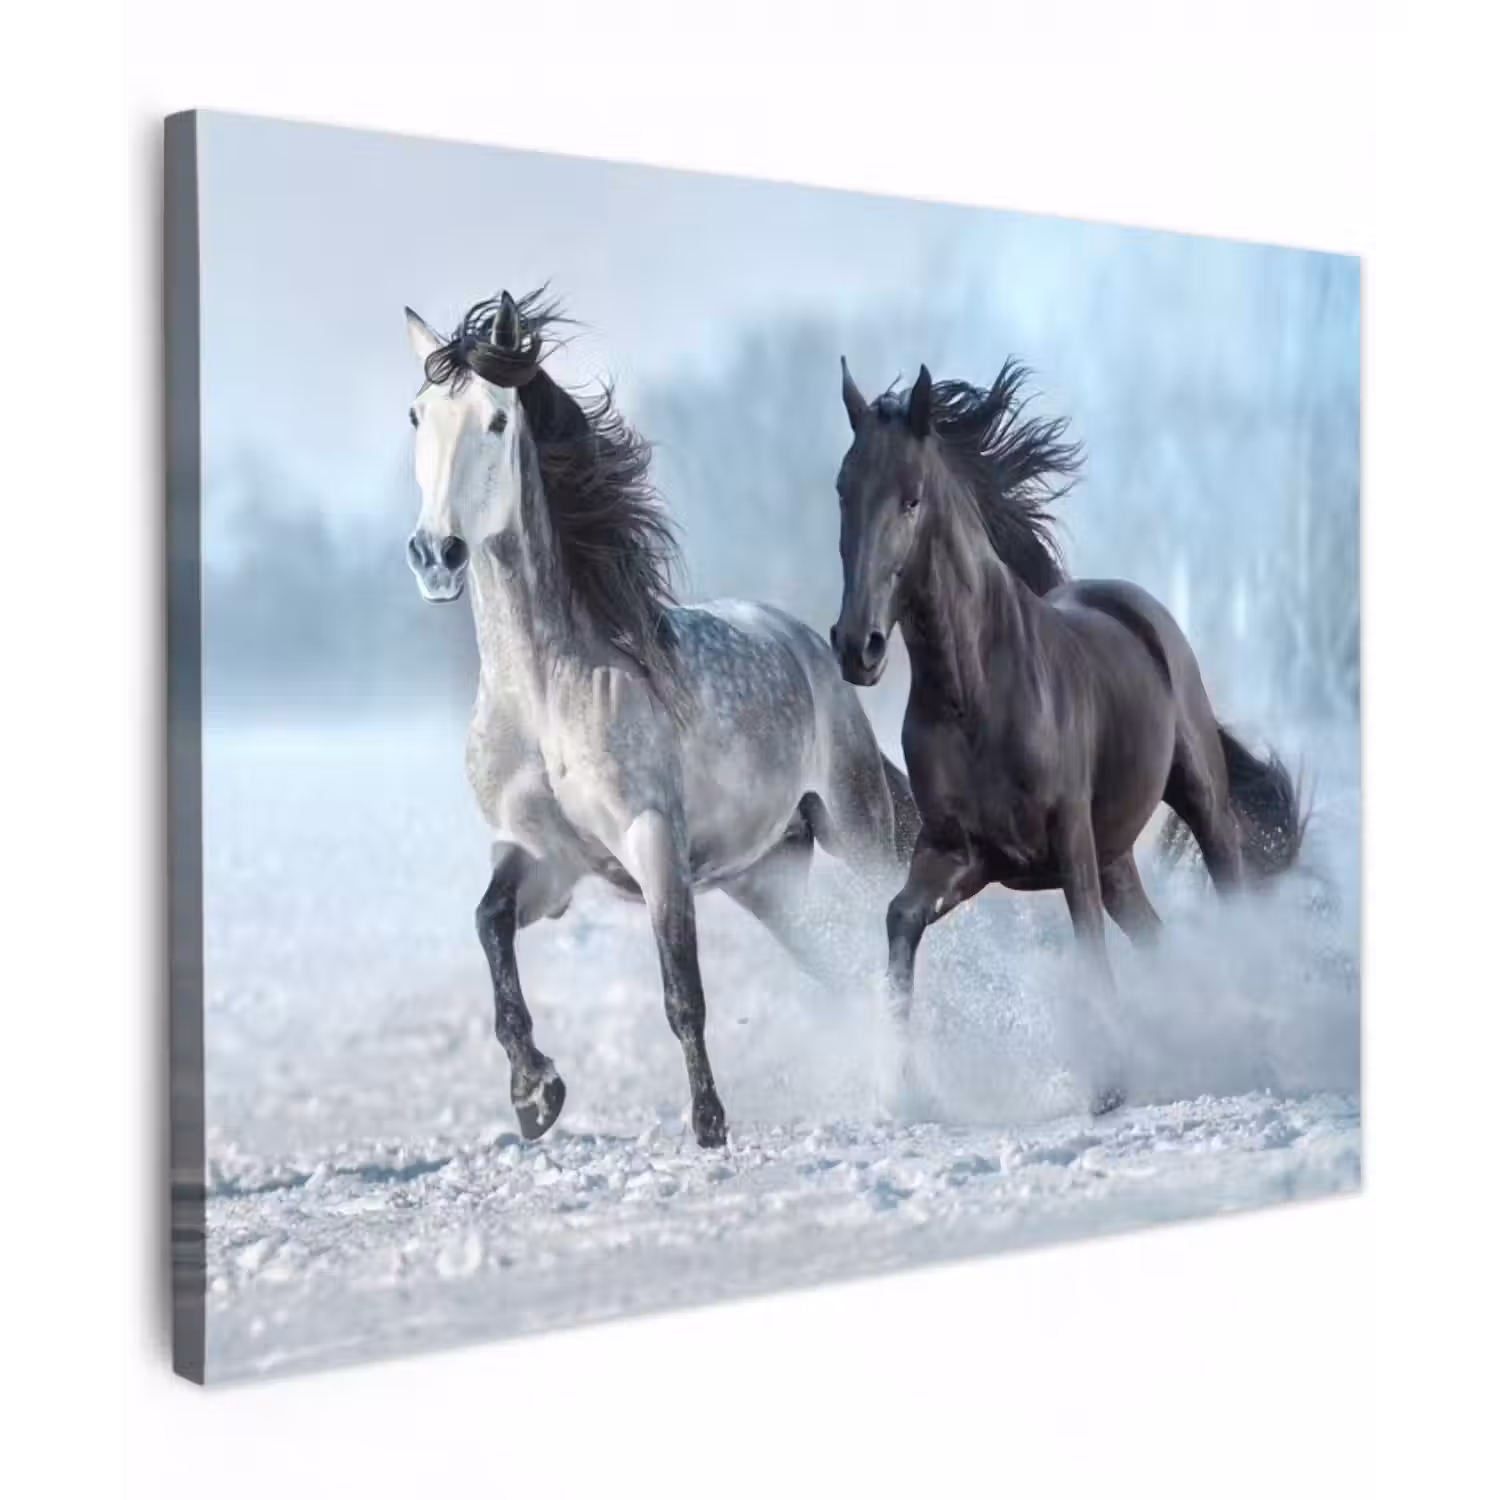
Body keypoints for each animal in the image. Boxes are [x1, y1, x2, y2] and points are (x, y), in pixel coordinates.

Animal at [400, 287, 920, 1148]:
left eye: (498, 420)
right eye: (418, 415)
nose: (434, 555)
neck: (545, 694)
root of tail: (811, 645)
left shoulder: (654, 844)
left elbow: (683, 989)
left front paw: (708, 1125)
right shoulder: (542, 856)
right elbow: (489, 926)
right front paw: (535, 1094)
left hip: (856, 827)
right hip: (766, 879)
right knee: (843, 962)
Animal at [829, 355, 1308, 1114]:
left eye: (911, 499)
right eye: (843, 491)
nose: (858, 647)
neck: (974, 697)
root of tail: (1136, 607)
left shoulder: (1068, 842)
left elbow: (1088, 948)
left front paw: (1110, 1085)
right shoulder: (963, 852)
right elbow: (900, 920)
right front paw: (902, 1087)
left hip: (1195, 799)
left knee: (1228, 891)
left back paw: (1252, 1049)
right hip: (1116, 858)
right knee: (1156, 936)